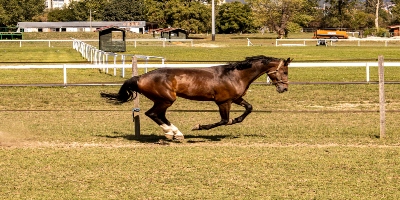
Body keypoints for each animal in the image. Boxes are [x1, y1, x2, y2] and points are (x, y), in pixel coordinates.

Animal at [100, 54, 290, 139]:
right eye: (285, 71)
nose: (284, 88)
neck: (234, 75)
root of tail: (139, 77)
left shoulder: (235, 99)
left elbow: (248, 108)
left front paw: (236, 120)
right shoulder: (223, 102)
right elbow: (223, 120)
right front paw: (198, 127)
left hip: (163, 100)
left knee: (158, 115)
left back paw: (176, 133)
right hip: (166, 99)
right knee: (152, 114)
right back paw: (171, 133)